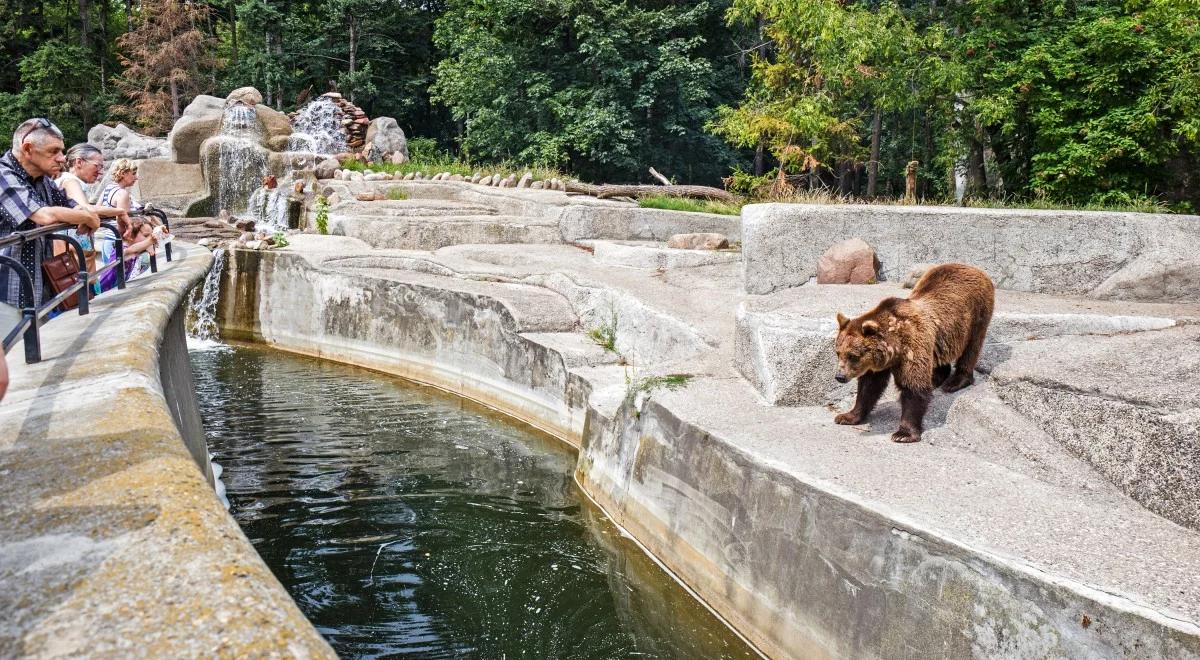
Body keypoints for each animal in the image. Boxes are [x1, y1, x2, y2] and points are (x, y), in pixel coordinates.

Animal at [835, 264, 993, 444]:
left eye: (853, 355)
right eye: (838, 352)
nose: (840, 376)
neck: (894, 348)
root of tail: (973, 268)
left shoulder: (912, 346)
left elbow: (913, 387)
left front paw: (903, 433)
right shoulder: (880, 363)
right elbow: (868, 387)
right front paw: (847, 416)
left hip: (977, 313)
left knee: (971, 348)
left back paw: (955, 382)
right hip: (941, 336)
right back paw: (936, 378)